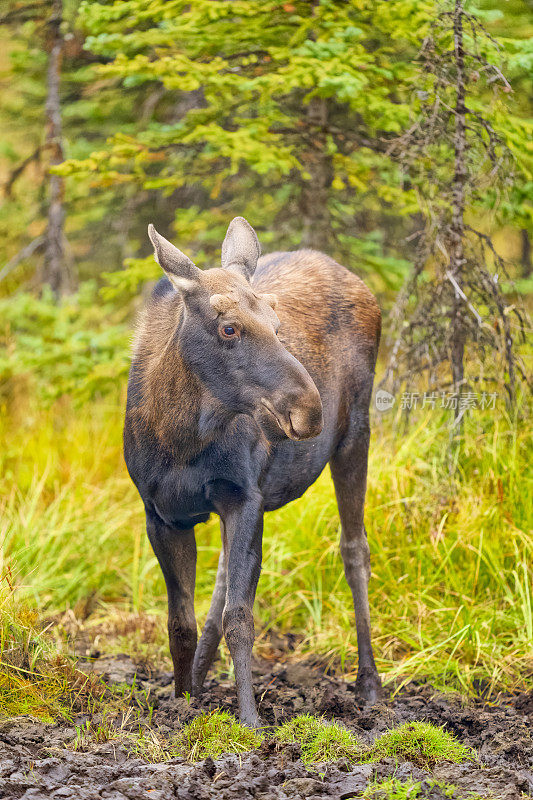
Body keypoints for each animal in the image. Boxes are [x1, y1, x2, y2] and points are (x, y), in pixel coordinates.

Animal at [123, 217, 382, 724]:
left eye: (279, 326)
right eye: (229, 327)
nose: (310, 409)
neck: (180, 440)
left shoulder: (245, 497)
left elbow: (240, 618)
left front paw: (249, 720)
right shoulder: (160, 513)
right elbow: (180, 621)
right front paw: (181, 702)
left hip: (355, 432)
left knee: (354, 548)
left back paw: (369, 683)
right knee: (222, 583)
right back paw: (199, 681)